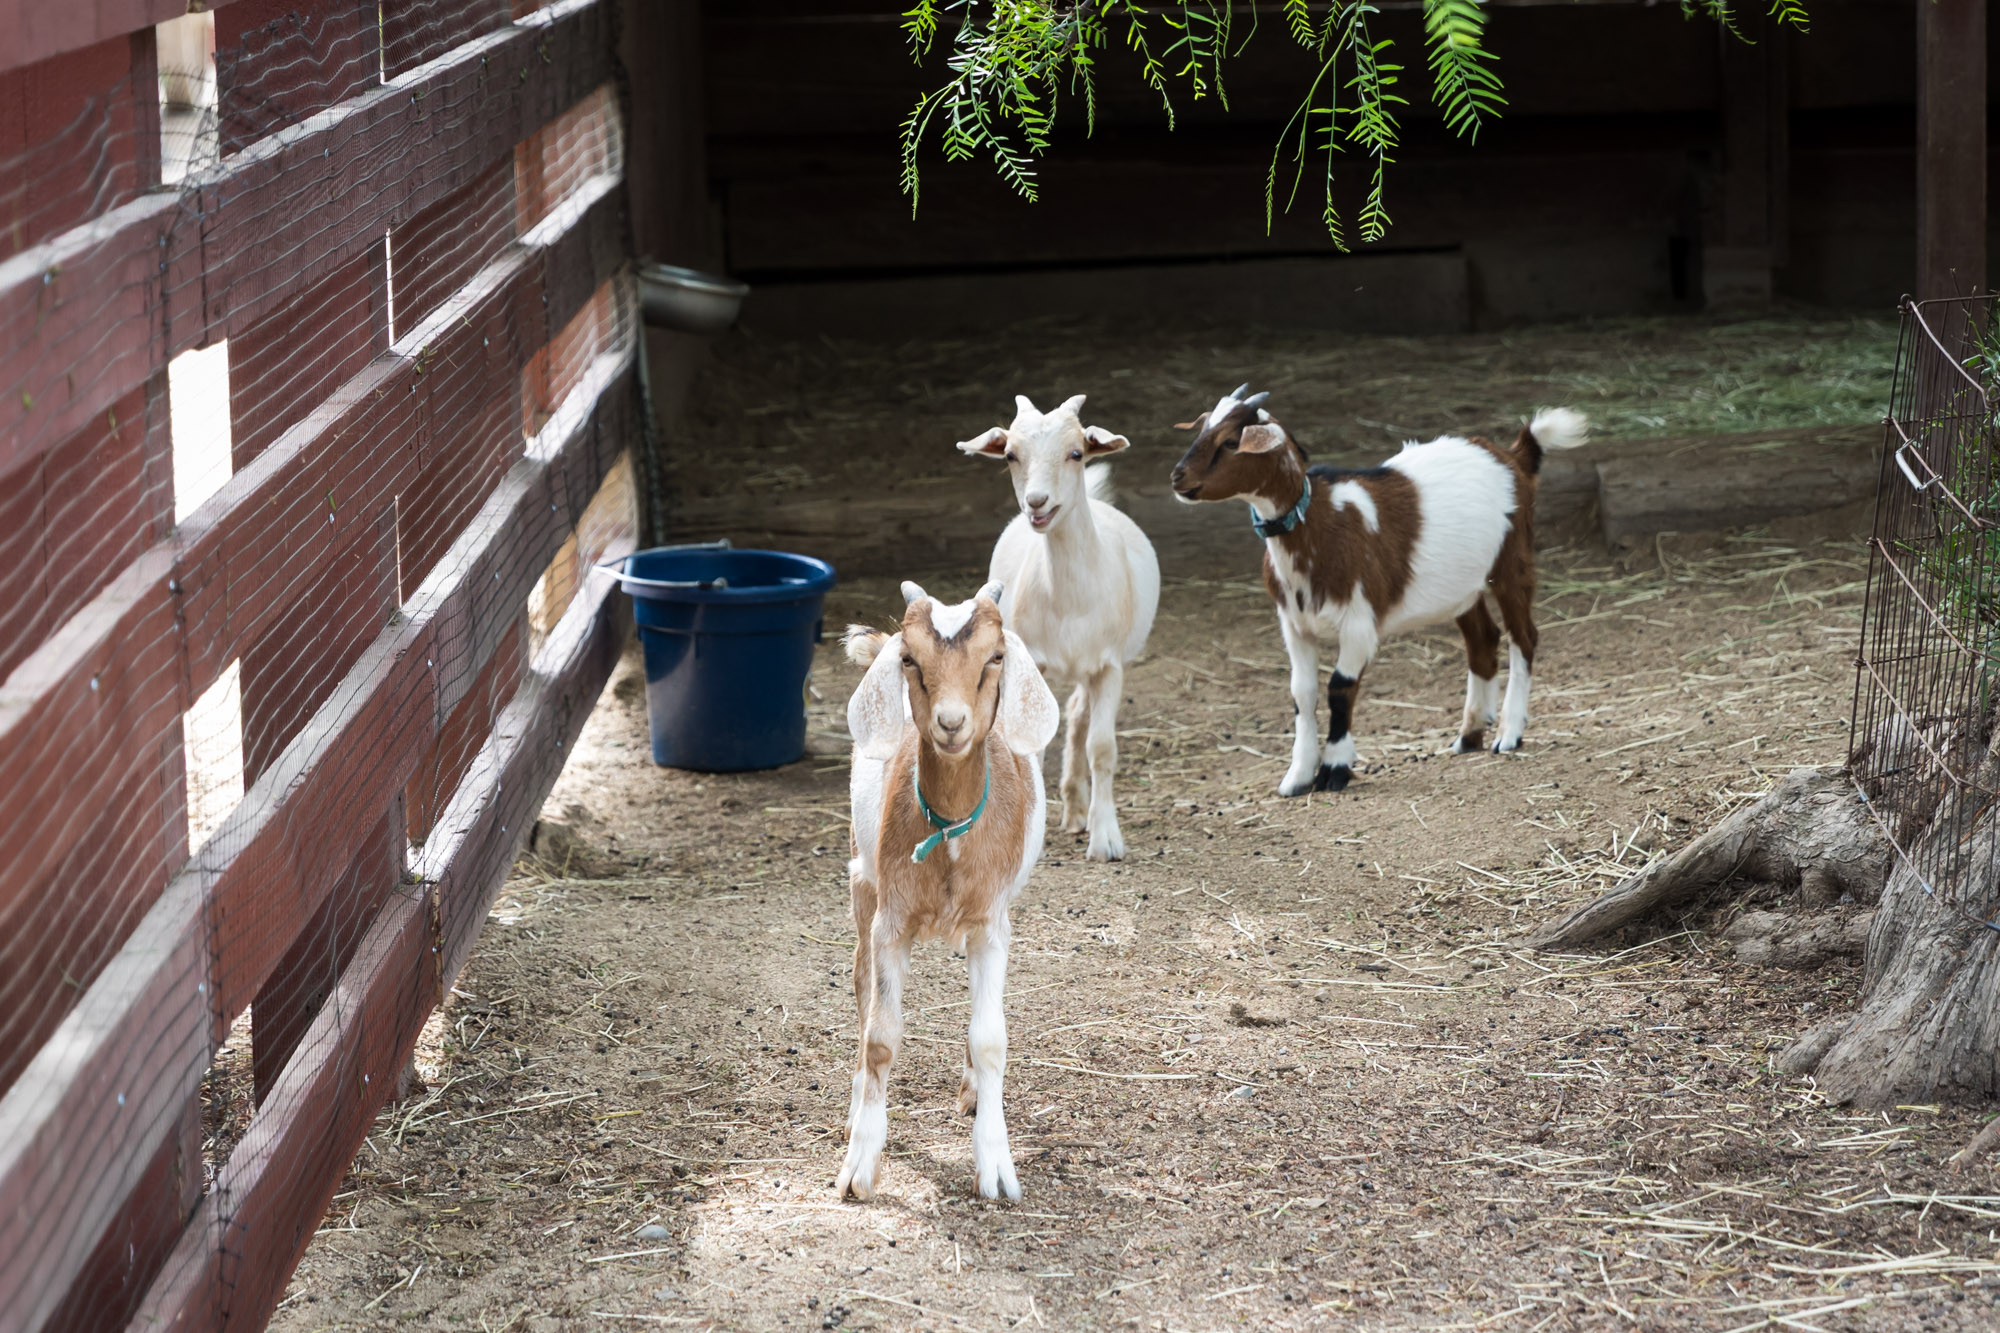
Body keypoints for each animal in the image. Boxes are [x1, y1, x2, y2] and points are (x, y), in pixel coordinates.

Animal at [838, 581, 1060, 1201]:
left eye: (995, 657)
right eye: (910, 659)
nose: (952, 722)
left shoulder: (992, 923)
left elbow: (990, 1038)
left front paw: (997, 1167)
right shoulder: (891, 918)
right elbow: (880, 1036)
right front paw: (860, 1166)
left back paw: (973, 1092)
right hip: (861, 880)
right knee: (860, 982)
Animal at [958, 394, 1161, 861]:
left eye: (1076, 453)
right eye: (1010, 455)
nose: (1037, 501)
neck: (1070, 601)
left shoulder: (1109, 666)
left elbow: (1102, 748)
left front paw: (1106, 839)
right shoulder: (1032, 664)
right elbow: (1030, 743)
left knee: (1079, 713)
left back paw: (1079, 808)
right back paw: (1072, 809)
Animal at [1169, 385, 1587, 796]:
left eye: (1229, 442)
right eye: (1201, 430)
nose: (1177, 477)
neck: (1319, 525)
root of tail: (1512, 456)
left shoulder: (1359, 623)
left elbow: (1340, 688)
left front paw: (1335, 769)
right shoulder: (1294, 624)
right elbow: (1301, 693)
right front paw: (1298, 775)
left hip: (1511, 561)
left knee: (1524, 636)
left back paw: (1509, 733)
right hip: (1461, 588)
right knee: (1483, 641)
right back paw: (1469, 735)